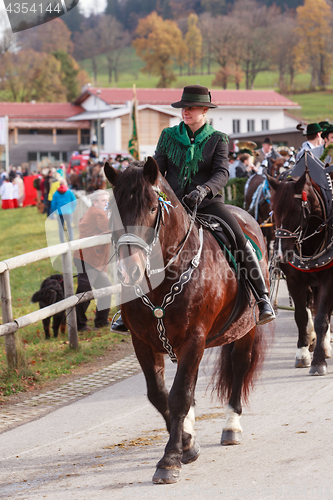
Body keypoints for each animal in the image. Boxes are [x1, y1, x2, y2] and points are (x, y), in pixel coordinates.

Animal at [104, 157, 270, 484]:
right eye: (114, 211)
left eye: (152, 208)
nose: (129, 271)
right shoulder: (143, 342)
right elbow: (160, 395)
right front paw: (186, 443)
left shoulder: (194, 339)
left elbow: (179, 395)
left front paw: (171, 459)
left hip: (245, 331)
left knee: (239, 365)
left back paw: (231, 425)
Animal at [268, 171, 330, 372]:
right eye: (274, 211)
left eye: (295, 211)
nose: (281, 253)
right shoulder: (294, 280)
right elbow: (301, 315)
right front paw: (302, 352)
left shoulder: (328, 279)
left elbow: (322, 317)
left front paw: (318, 360)